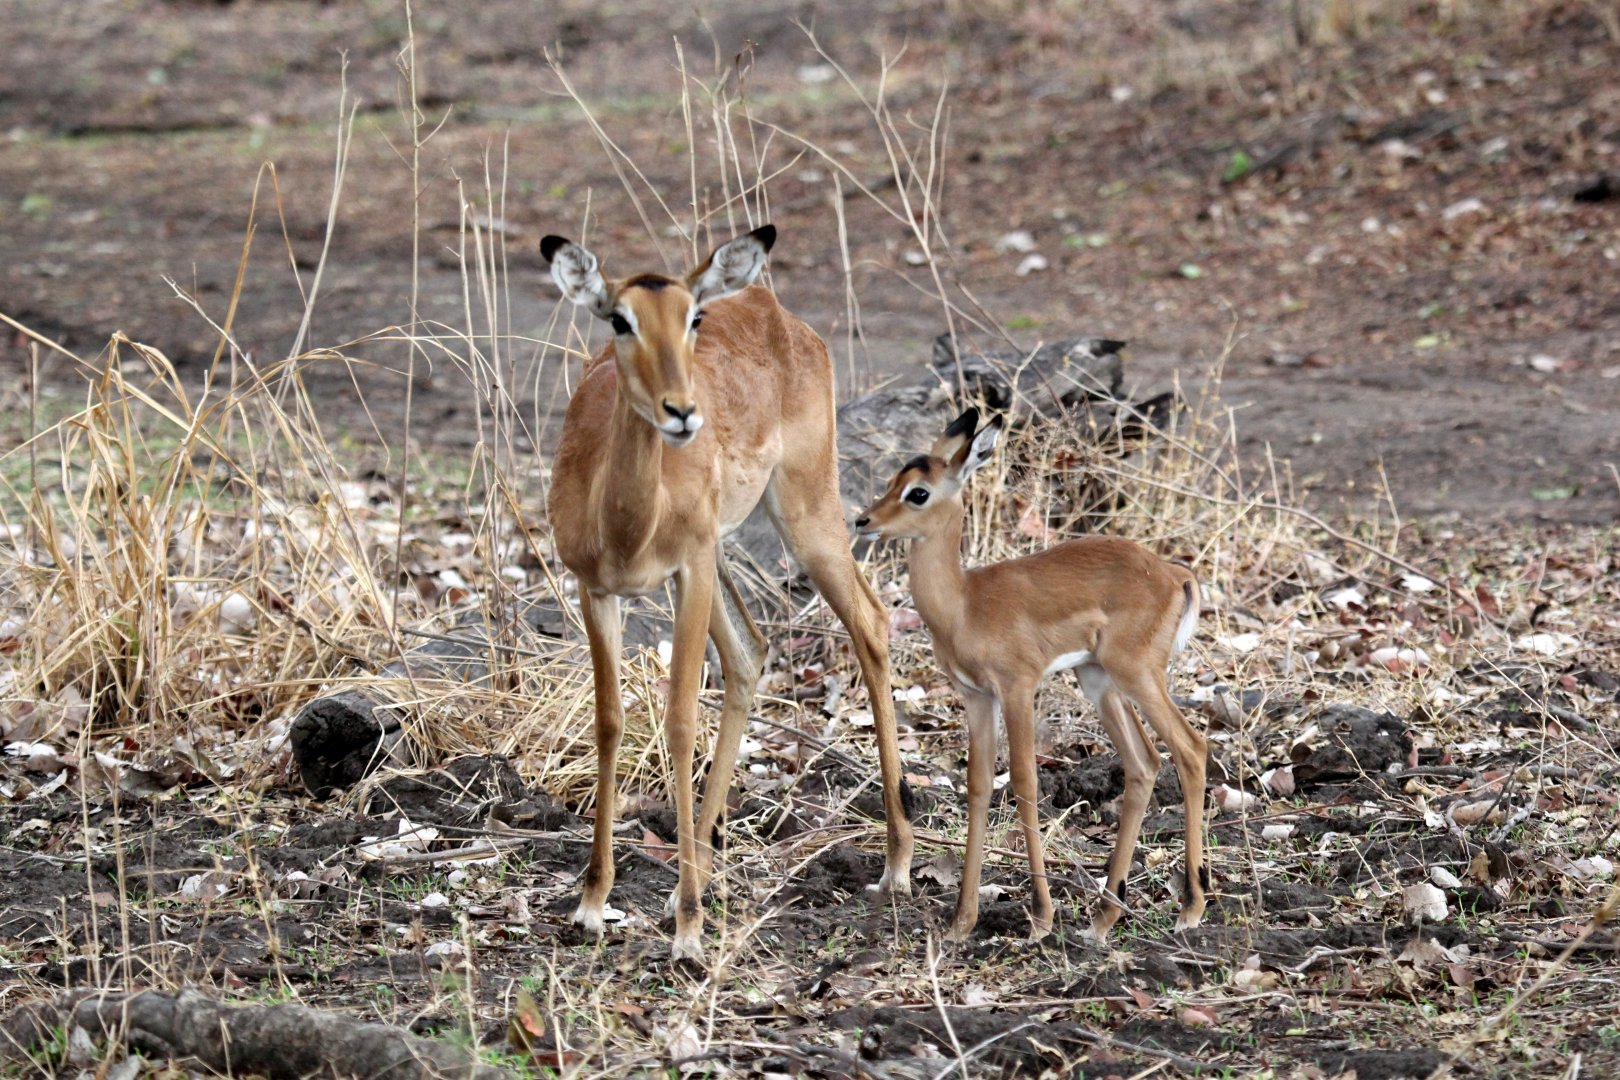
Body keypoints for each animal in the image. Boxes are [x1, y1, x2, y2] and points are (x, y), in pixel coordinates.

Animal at [540, 225, 914, 963]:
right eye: (618, 319)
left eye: (692, 317)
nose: (682, 412)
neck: (625, 524)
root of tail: (777, 312)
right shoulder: (597, 590)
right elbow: (610, 721)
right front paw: (592, 903)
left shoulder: (685, 574)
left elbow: (682, 722)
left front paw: (686, 931)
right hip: (723, 556)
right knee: (751, 651)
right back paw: (705, 866)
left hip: (802, 515)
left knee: (870, 620)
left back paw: (896, 862)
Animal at [854, 408, 1208, 942]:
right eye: (894, 480)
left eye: (918, 492)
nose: (864, 521)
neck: (965, 604)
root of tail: (1172, 573)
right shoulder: (977, 697)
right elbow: (979, 785)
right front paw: (961, 921)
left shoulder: (1017, 688)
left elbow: (1023, 780)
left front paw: (1040, 916)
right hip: (1098, 680)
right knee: (1145, 763)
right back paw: (1102, 919)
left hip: (1138, 675)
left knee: (1191, 748)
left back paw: (1189, 909)